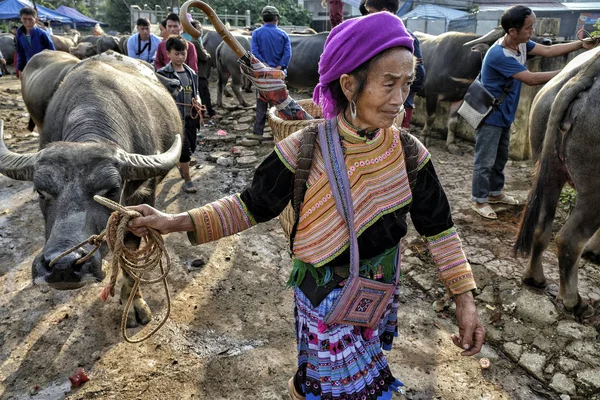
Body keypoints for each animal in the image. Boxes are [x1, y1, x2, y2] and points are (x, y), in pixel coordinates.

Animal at [512, 45, 600, 318]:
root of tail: (584, 72)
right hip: (595, 188)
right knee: (570, 239)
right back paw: (574, 301)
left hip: (545, 159)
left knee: (541, 225)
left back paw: (534, 278)